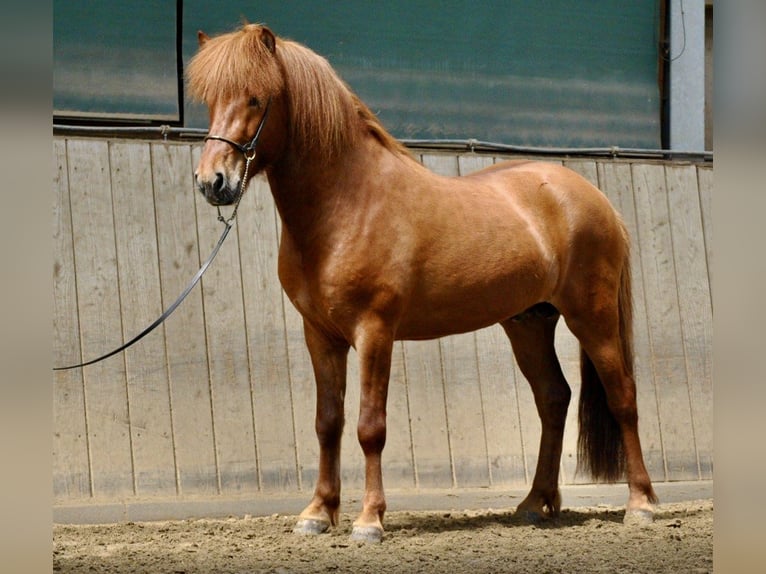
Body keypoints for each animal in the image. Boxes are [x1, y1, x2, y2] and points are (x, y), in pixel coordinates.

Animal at [187, 23, 658, 542]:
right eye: (209, 99)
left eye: (255, 97)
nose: (212, 181)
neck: (349, 203)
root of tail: (595, 198)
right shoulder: (321, 335)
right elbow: (328, 423)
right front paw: (317, 513)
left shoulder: (375, 332)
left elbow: (370, 427)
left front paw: (369, 520)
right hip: (529, 323)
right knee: (553, 400)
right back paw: (536, 503)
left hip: (591, 316)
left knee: (623, 397)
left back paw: (640, 504)